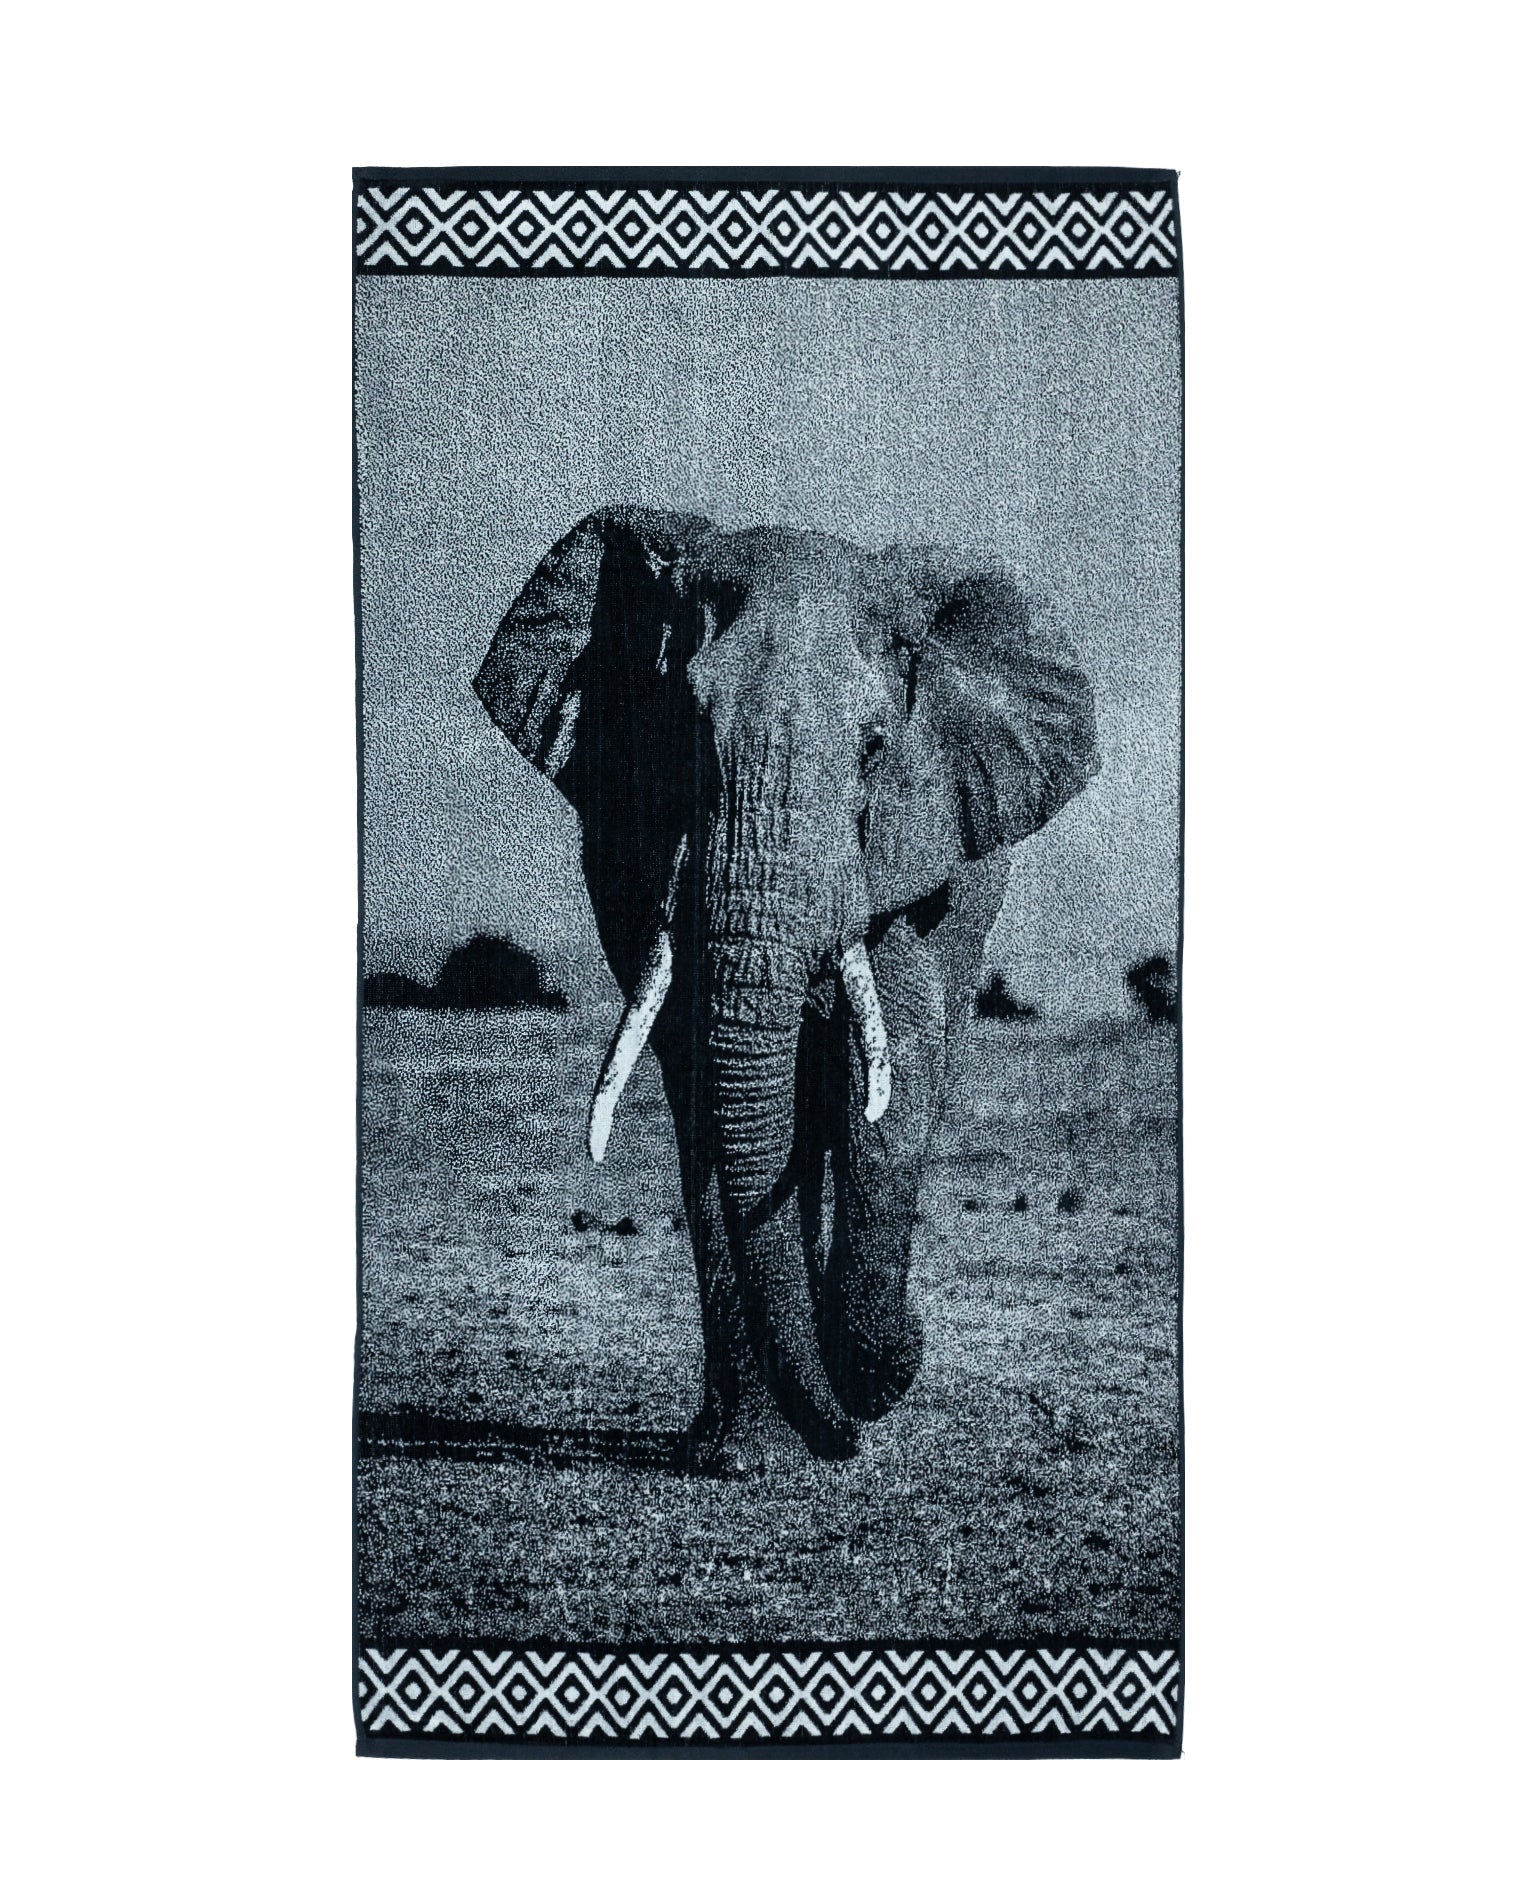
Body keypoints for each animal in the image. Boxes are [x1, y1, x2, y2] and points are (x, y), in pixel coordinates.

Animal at [473, 507, 1099, 1472]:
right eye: (686, 730)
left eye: (876, 748)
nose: (847, 1432)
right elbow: (703, 1085)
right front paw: (747, 1454)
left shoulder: (907, 842)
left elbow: (893, 1070)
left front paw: (872, 1373)